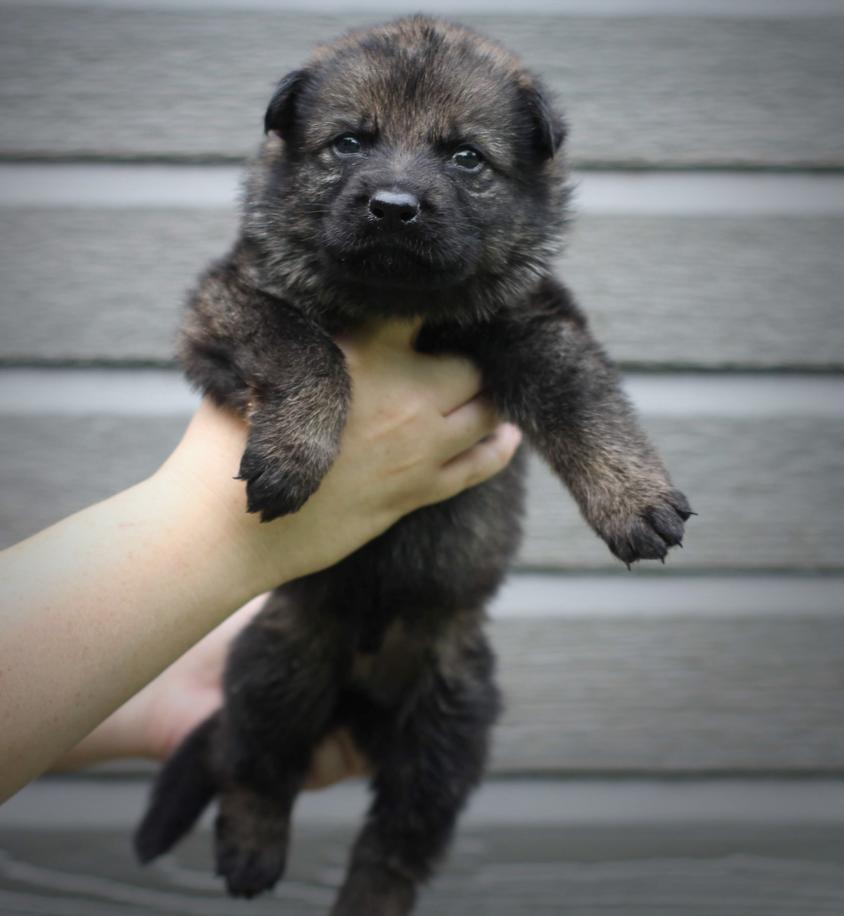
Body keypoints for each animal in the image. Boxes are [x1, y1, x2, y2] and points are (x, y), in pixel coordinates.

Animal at [134, 16, 692, 916]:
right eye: (348, 143)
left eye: (465, 156)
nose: (393, 208)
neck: (398, 304)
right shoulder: (229, 304)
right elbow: (307, 344)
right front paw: (295, 453)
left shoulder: (535, 320)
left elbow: (583, 398)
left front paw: (633, 496)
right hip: (275, 666)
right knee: (255, 769)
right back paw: (251, 850)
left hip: (451, 721)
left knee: (400, 840)